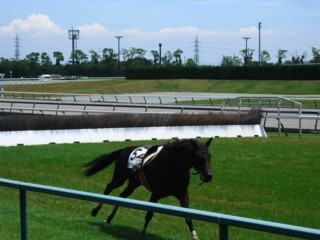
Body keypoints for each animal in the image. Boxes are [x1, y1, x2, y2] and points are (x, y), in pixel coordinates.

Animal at [83, 138, 212, 239]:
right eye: (198, 156)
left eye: (210, 156)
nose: (209, 176)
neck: (173, 166)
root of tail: (125, 149)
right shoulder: (155, 194)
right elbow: (149, 214)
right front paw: (143, 232)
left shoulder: (183, 194)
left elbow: (188, 216)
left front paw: (194, 235)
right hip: (120, 178)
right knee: (109, 187)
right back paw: (95, 211)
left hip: (134, 183)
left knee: (122, 196)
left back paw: (109, 218)